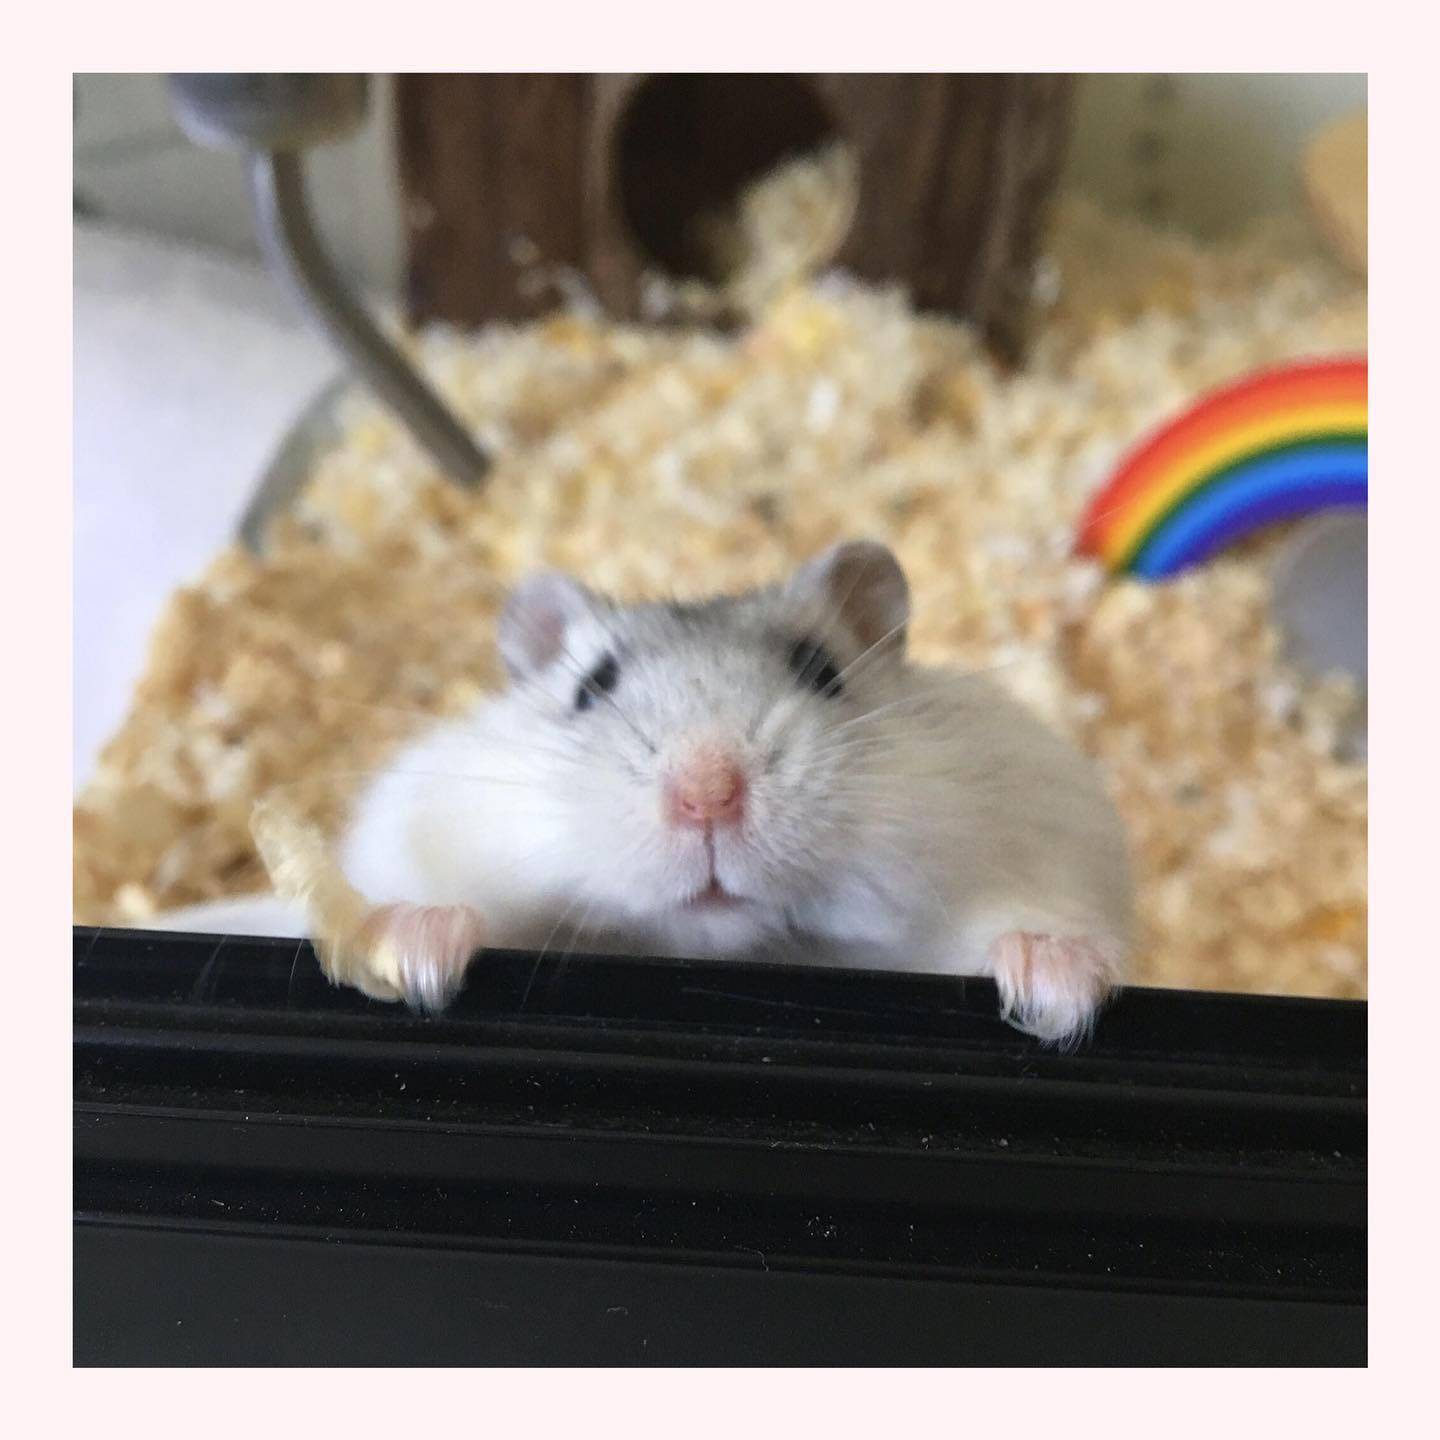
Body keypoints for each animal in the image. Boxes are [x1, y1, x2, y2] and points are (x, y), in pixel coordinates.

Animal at [155, 541, 1134, 1046]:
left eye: (822, 673)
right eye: (592, 689)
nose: (707, 796)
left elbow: (1031, 926)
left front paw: (1051, 991)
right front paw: (420, 956)